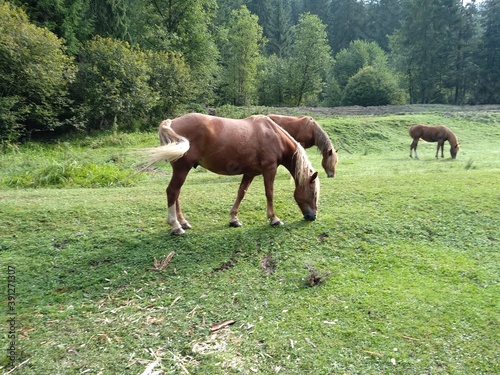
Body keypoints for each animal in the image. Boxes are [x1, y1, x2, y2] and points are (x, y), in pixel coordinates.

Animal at [143, 113, 318, 235]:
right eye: (313, 192)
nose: (313, 217)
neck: (273, 135)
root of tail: (172, 122)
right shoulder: (269, 169)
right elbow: (269, 193)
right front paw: (274, 219)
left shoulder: (250, 173)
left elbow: (241, 193)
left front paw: (234, 219)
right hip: (182, 169)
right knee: (172, 192)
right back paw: (176, 226)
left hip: (182, 170)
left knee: (176, 194)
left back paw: (183, 222)